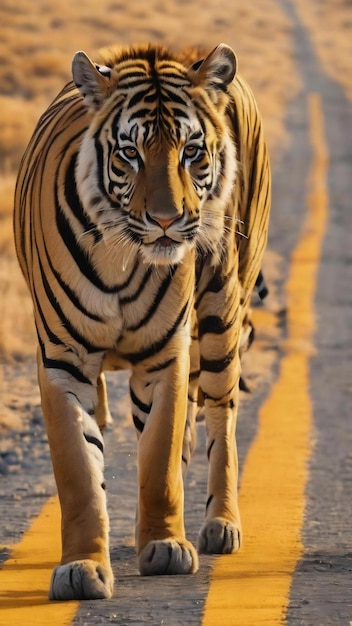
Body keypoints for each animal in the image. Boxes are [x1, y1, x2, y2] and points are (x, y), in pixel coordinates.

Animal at [13, 41, 270, 596]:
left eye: (191, 150)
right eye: (129, 152)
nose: (167, 221)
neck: (120, 254)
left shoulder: (163, 357)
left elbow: (160, 460)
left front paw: (167, 547)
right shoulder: (63, 360)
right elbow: (78, 470)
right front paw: (81, 568)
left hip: (221, 312)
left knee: (221, 416)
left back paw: (221, 525)